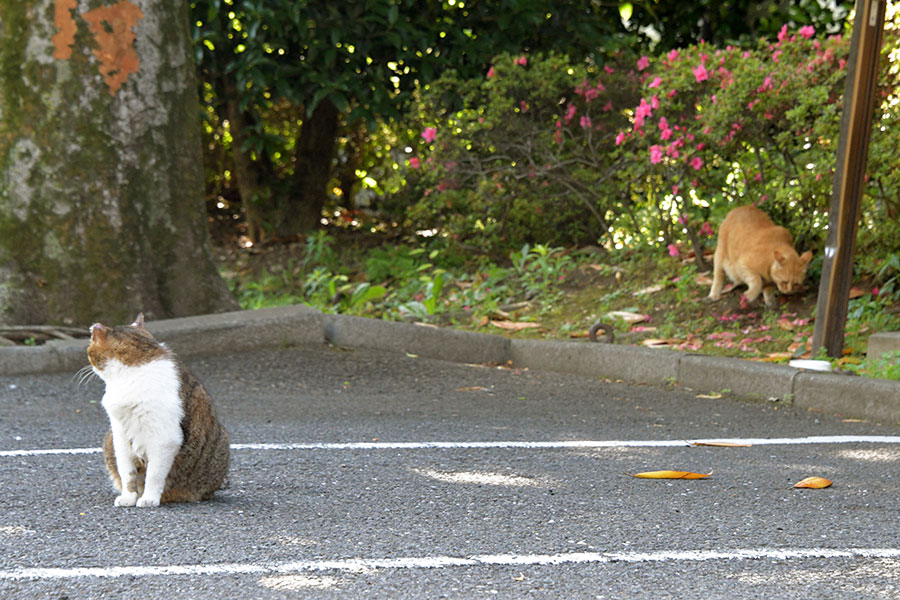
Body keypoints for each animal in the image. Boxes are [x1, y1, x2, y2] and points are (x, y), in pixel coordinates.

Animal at [86, 314, 230, 506]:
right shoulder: (119, 434)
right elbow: (127, 473)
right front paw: (128, 497)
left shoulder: (165, 439)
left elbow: (154, 474)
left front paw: (149, 499)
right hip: (109, 440)